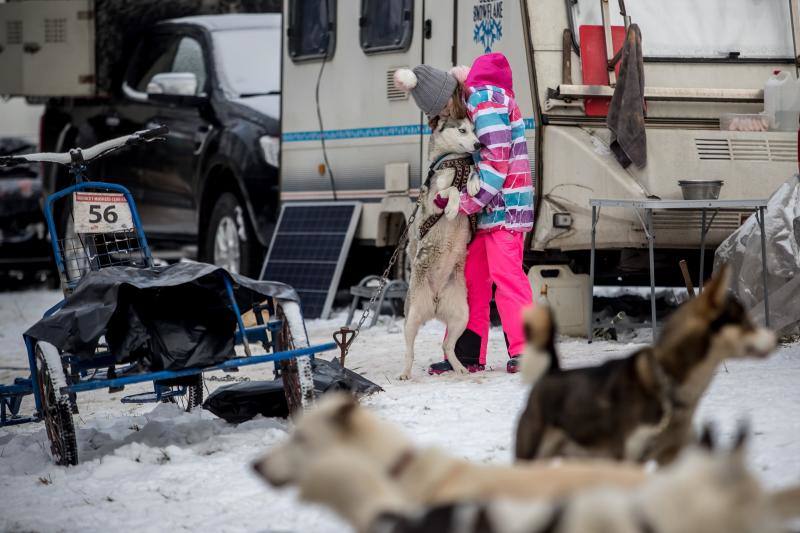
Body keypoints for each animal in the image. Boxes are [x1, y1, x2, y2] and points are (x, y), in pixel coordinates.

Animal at [400, 116, 482, 378]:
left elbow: (472, 175)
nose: (478, 145)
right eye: (462, 130)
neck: (455, 160)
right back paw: (405, 373)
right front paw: (453, 208)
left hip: (462, 316)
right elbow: (453, 189)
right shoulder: (435, 195)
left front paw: (474, 184)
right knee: (409, 350)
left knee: (447, 345)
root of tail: (435, 301)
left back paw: (459, 368)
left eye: (475, 130)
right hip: (412, 317)